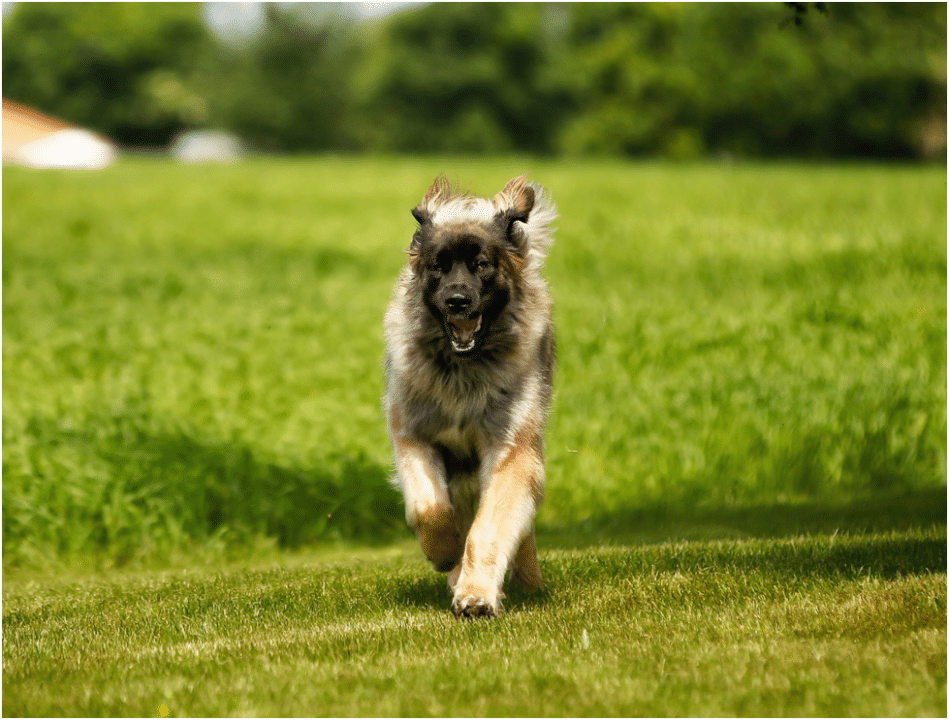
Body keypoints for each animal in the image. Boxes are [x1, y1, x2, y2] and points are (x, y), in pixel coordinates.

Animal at [382, 176, 556, 620]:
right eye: (438, 267)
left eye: (481, 265)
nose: (457, 300)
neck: (464, 370)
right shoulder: (414, 436)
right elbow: (431, 509)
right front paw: (445, 555)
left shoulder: (511, 448)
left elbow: (489, 526)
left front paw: (476, 596)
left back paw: (527, 582)